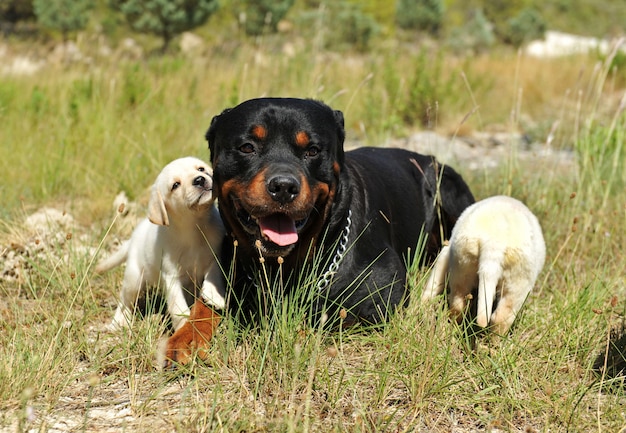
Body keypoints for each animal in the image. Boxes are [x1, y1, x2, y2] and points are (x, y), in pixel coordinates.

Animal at [95, 157, 224, 330]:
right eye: (175, 185)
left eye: (201, 169)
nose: (199, 180)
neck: (193, 227)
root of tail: (134, 237)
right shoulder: (171, 276)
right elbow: (177, 306)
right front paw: (184, 324)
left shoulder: (215, 256)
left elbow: (213, 275)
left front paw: (214, 296)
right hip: (134, 279)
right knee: (124, 301)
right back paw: (118, 321)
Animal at [163, 98, 470, 364]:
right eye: (247, 147)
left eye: (312, 150)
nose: (283, 186)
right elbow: (205, 304)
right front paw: (187, 336)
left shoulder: (384, 294)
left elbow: (326, 316)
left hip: (448, 186)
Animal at [422, 196, 544, 334]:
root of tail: (494, 242)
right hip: (519, 280)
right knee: (502, 316)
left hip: (463, 263)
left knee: (459, 302)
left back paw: (455, 326)